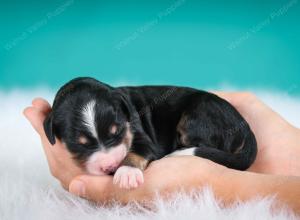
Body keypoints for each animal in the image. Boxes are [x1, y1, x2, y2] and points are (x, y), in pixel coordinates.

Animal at [44, 77, 258, 189]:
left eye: (117, 131)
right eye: (79, 144)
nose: (111, 166)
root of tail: (245, 126)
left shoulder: (141, 135)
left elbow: (137, 151)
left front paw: (126, 172)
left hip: (198, 115)